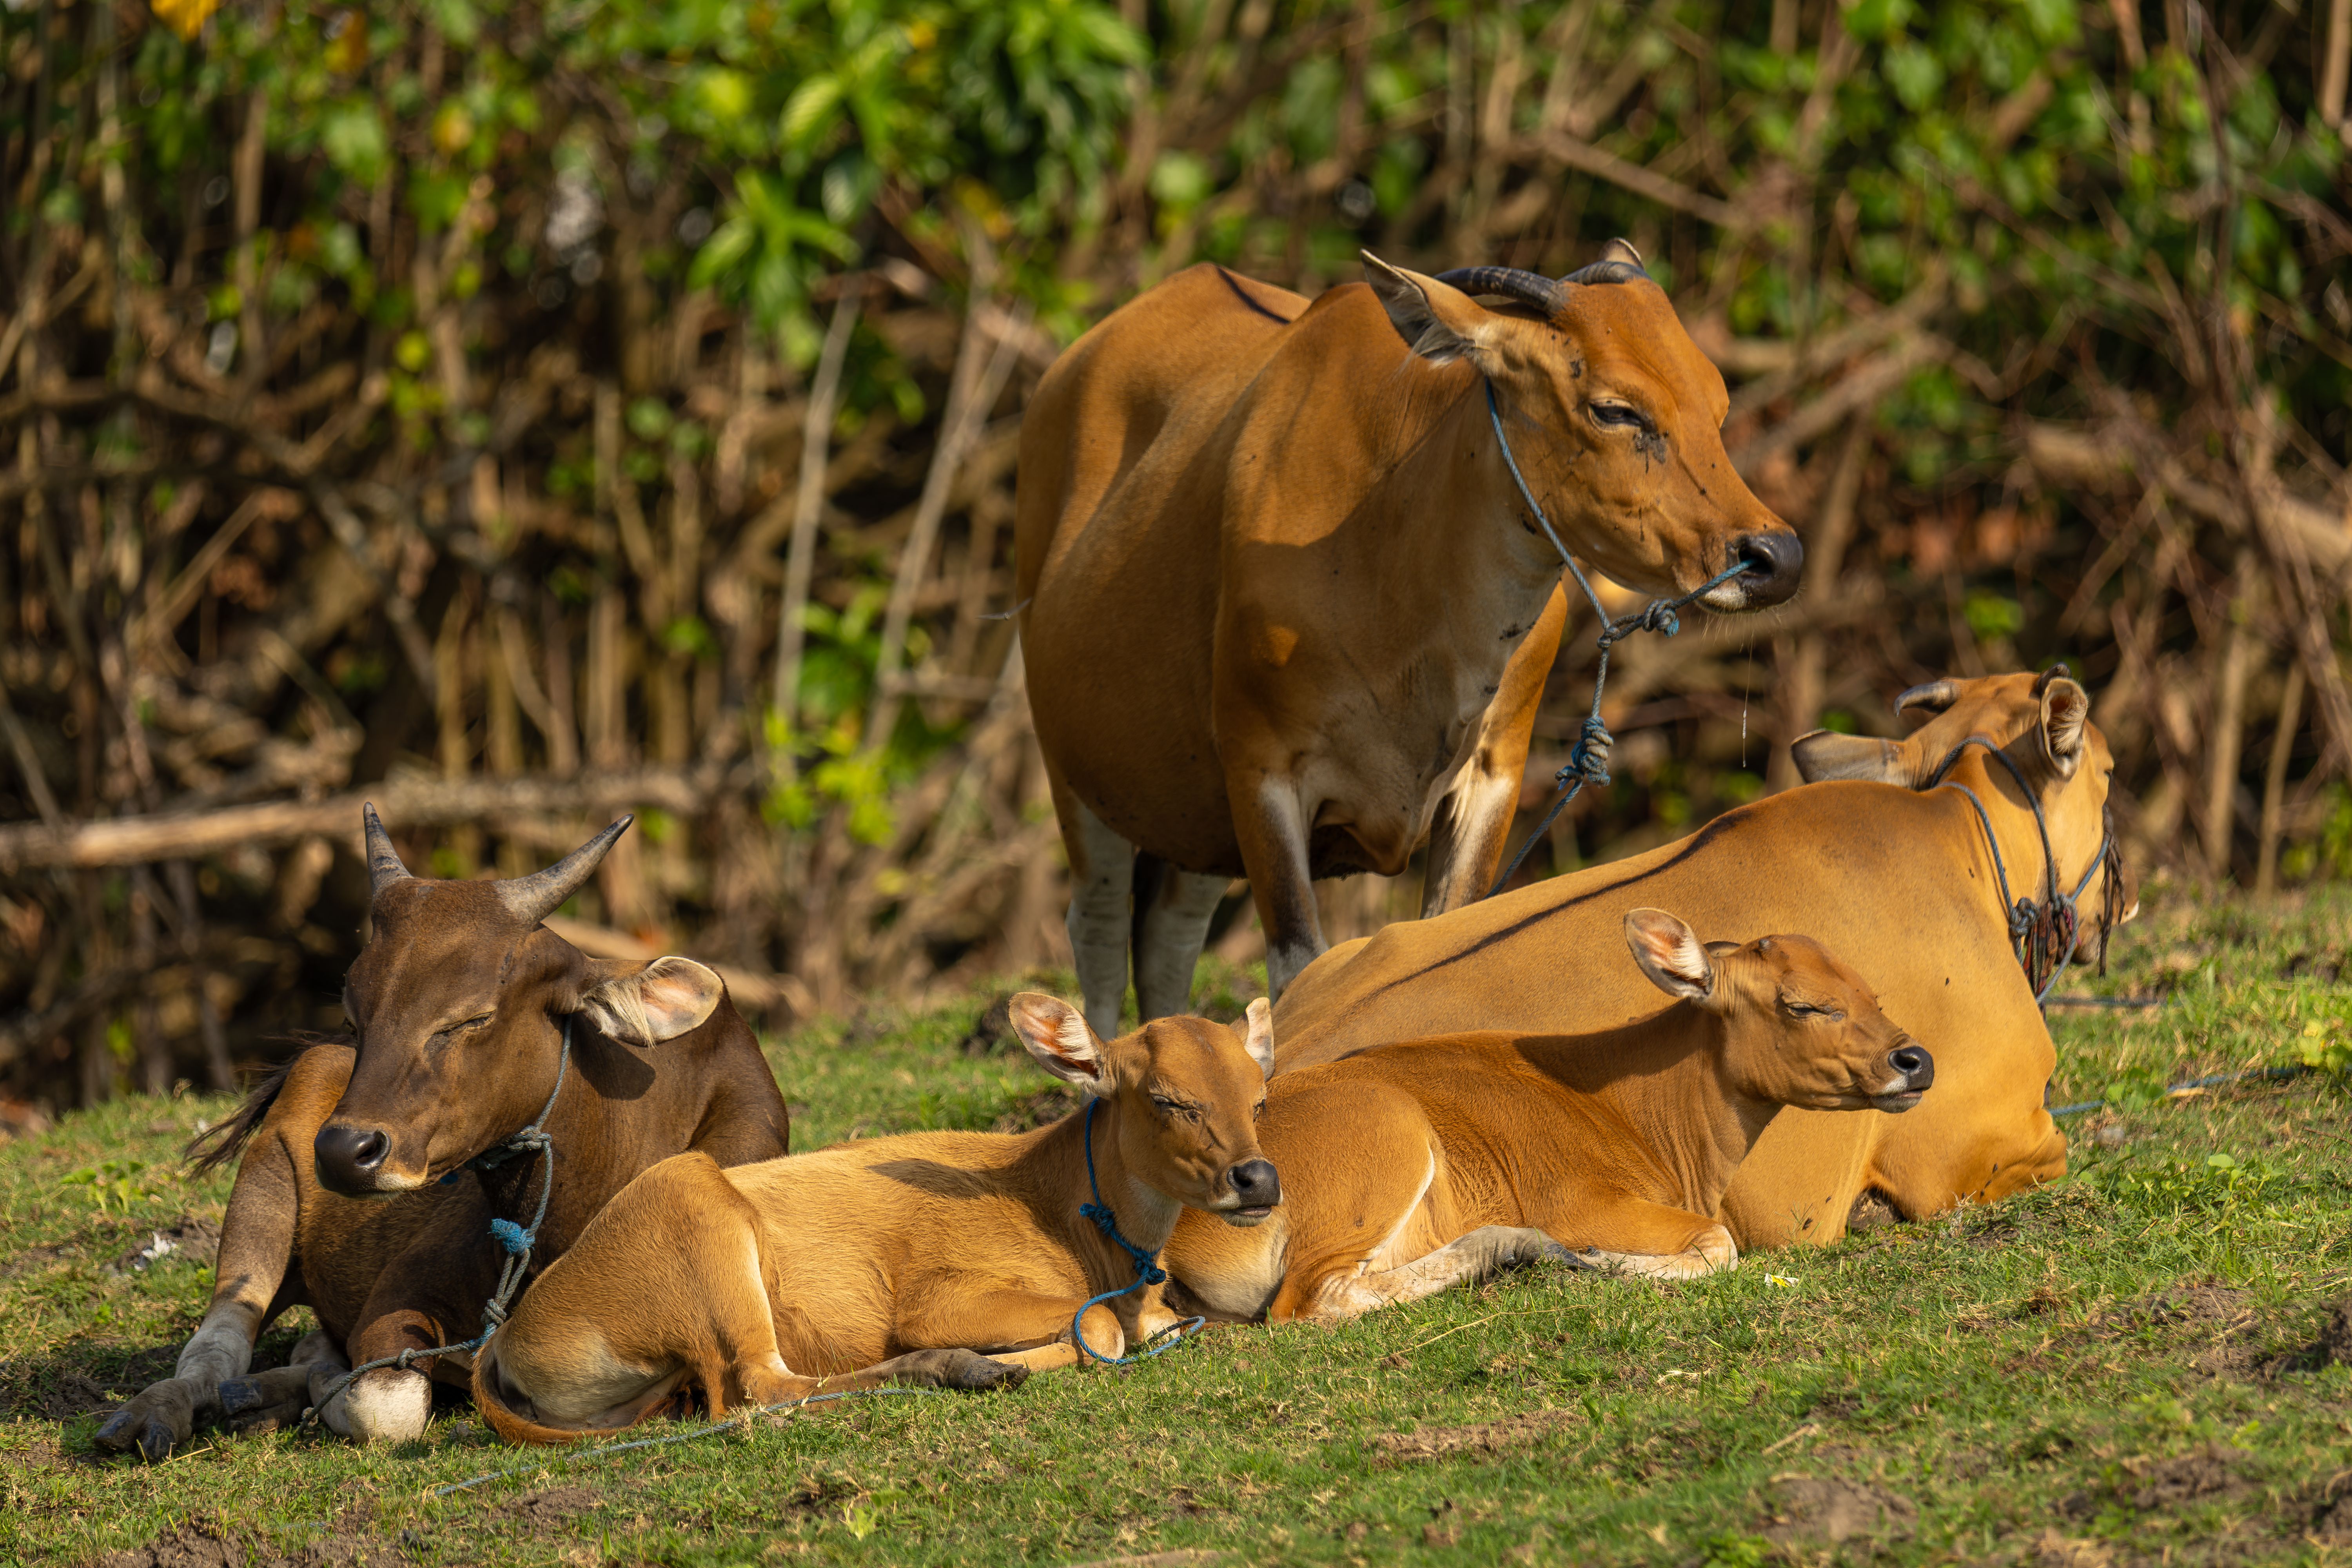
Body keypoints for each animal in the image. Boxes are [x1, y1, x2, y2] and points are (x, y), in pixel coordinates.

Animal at [94, 807, 792, 1459]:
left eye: (471, 1017)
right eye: (356, 1016)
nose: (343, 1152)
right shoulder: (400, 1296)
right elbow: (388, 1404)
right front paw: (329, 1388)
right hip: (260, 1206)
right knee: (217, 1347)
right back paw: (161, 1413)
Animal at [469, 994, 1280, 1443]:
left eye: (1258, 1097)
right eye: (1168, 1099)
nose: (1259, 1179)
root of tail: (510, 1333)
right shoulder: (940, 1296)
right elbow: (1101, 1329)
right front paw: (1011, 1360)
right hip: (699, 1221)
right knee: (757, 1392)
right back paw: (958, 1369)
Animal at [1015, 244, 1806, 1038]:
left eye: (1717, 401)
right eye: (1615, 409)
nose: (1776, 557)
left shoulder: (1494, 773)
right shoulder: (1260, 770)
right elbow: (1300, 970)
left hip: (1190, 815)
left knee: (1168, 938)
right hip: (1077, 774)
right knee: (1099, 931)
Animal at [1163, 910, 1932, 1322]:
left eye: (1869, 992)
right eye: (1803, 1004)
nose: (1915, 1060)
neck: (1635, 1108)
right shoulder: (1583, 1202)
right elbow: (1719, 1243)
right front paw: (1605, 1263)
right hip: (1385, 1141)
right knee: (1311, 1302)